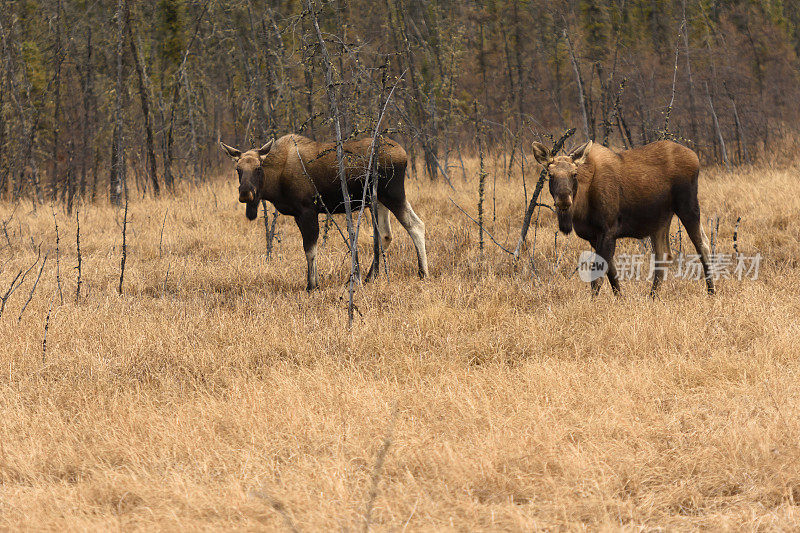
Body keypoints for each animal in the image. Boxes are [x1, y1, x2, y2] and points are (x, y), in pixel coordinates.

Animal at [536, 138, 716, 296]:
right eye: (550, 175)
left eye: (574, 174)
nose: (564, 199)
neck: (582, 204)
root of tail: (695, 156)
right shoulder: (594, 236)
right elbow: (612, 274)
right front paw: (620, 299)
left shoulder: (608, 230)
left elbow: (598, 278)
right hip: (661, 219)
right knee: (663, 254)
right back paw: (652, 297)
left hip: (688, 206)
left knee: (703, 244)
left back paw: (711, 292)